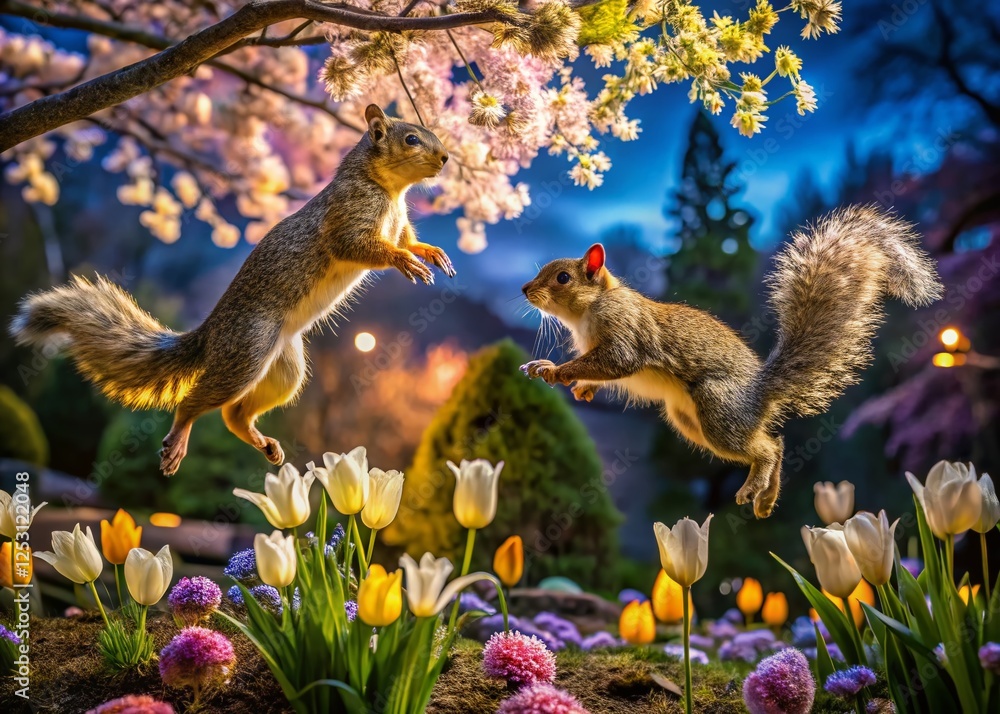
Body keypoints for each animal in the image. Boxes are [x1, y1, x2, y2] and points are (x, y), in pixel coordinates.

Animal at [10, 104, 454, 476]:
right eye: (411, 139)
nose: (446, 158)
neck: (389, 191)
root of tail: (211, 333)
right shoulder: (348, 216)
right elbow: (358, 246)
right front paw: (403, 261)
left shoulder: (399, 222)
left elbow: (407, 238)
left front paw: (428, 252)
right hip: (247, 350)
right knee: (193, 403)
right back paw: (179, 439)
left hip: (283, 369)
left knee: (233, 415)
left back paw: (261, 442)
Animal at [520, 205, 943, 518]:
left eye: (562, 277)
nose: (524, 289)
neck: (587, 312)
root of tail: (760, 393)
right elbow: (602, 373)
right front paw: (580, 385)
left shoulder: (623, 332)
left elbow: (615, 363)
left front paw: (555, 370)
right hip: (689, 422)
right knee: (775, 443)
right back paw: (767, 498)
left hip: (717, 409)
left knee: (768, 449)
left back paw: (755, 487)